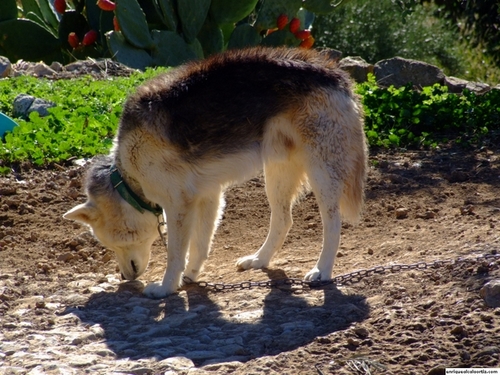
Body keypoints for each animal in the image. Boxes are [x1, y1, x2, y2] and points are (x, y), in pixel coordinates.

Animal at [63, 47, 368, 300]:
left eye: (114, 242)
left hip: (321, 176)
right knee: (283, 220)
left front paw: (166, 288)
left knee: (332, 225)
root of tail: (337, 77)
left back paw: (322, 270)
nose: (125, 277)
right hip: (276, 175)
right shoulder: (209, 196)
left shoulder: (179, 206)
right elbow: (200, 246)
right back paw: (260, 260)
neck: (127, 179)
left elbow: (175, 254)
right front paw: (190, 277)